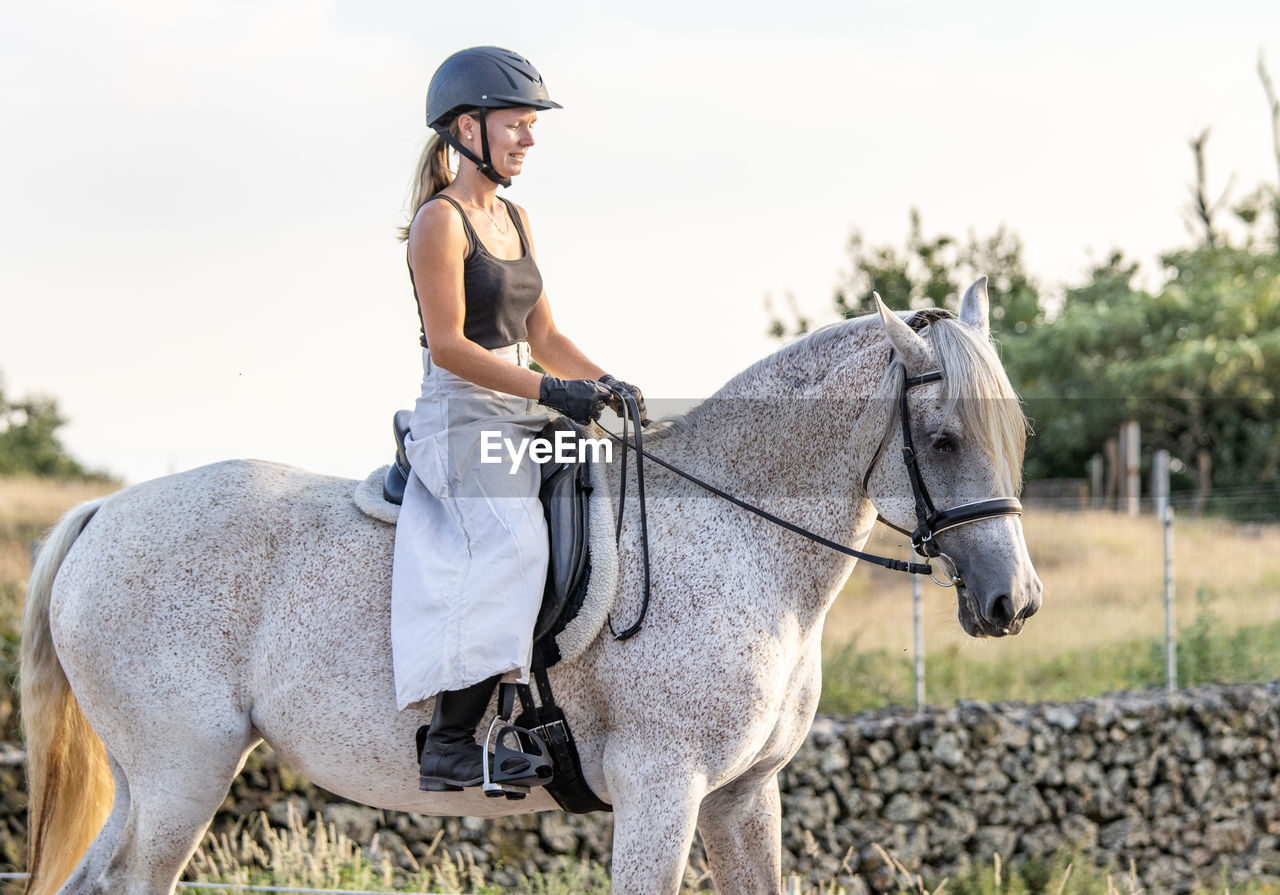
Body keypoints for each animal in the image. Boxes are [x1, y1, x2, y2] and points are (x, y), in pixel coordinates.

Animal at [22, 289, 1039, 895]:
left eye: (1015, 432)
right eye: (943, 437)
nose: (1013, 604)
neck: (742, 538)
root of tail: (104, 512)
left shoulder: (744, 796)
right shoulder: (663, 790)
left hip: (148, 778)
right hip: (182, 773)